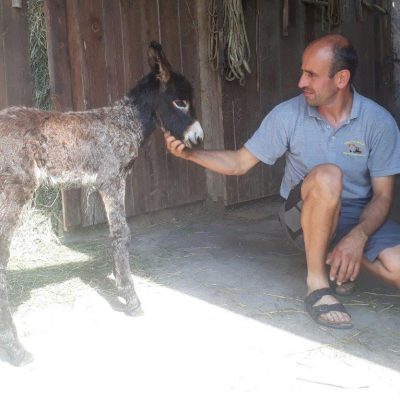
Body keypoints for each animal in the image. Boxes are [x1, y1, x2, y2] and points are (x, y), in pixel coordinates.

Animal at [0, 41, 203, 366]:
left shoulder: (102, 184)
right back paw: (17, 350)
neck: (123, 123)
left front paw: (121, 285)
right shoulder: (111, 179)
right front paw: (131, 300)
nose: (198, 138)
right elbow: (121, 234)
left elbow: (114, 233)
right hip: (16, 189)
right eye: (180, 102)